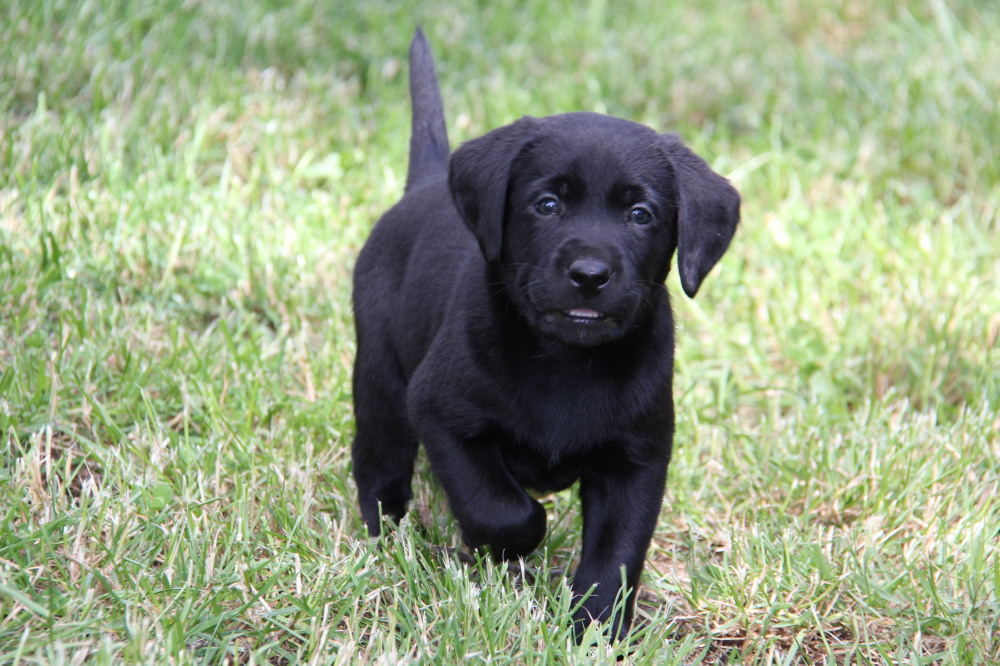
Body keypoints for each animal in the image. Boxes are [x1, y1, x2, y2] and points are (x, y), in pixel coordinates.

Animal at [354, 28, 744, 636]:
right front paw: (498, 547)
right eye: (548, 204)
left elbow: (617, 553)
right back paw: (387, 537)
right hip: (381, 378)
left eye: (641, 214)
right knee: (378, 463)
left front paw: (597, 628)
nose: (590, 274)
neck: (567, 361)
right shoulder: (441, 413)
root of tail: (425, 184)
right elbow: (504, 510)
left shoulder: (636, 460)